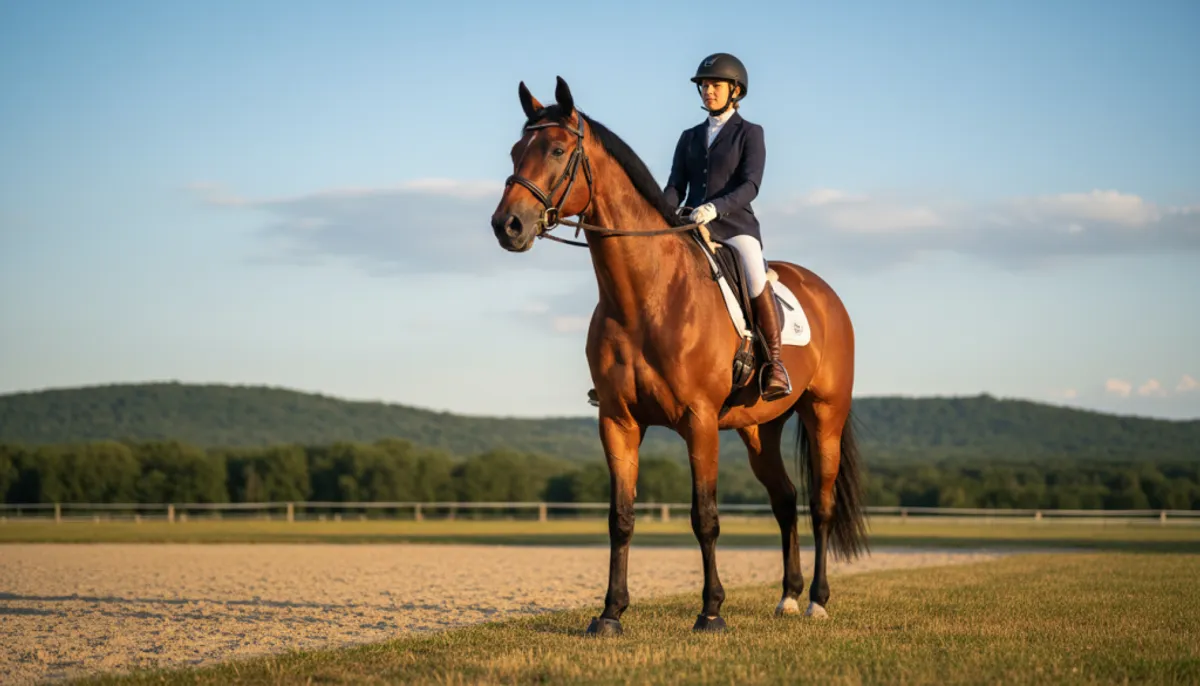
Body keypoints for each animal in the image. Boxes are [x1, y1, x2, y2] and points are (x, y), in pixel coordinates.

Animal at [489, 76, 868, 635]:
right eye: (517, 151)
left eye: (557, 150)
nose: (507, 226)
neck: (646, 297)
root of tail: (825, 293)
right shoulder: (618, 421)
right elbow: (620, 518)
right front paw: (610, 613)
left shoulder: (700, 420)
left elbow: (704, 517)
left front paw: (711, 612)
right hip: (760, 428)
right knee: (784, 501)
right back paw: (788, 596)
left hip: (825, 415)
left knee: (819, 505)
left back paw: (817, 601)